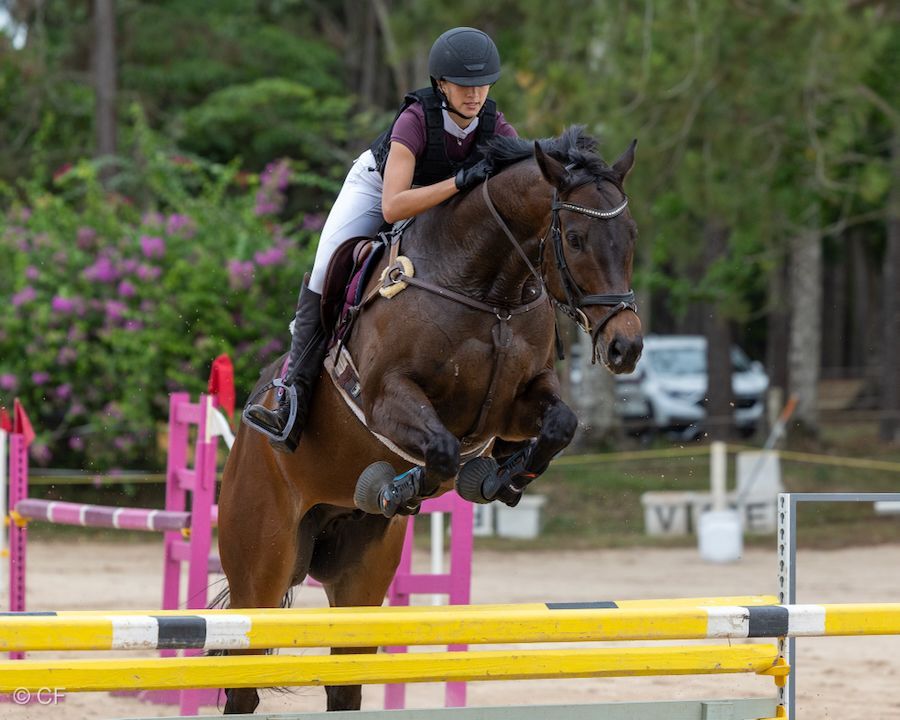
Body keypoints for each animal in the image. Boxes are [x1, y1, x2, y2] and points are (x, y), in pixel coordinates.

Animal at [217, 126, 643, 713]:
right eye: (575, 238)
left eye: (630, 235)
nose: (626, 346)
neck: (488, 291)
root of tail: (243, 442)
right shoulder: (385, 398)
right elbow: (439, 449)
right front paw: (398, 488)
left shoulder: (517, 404)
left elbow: (560, 425)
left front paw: (501, 478)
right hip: (260, 565)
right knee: (242, 684)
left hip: (361, 573)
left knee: (343, 683)